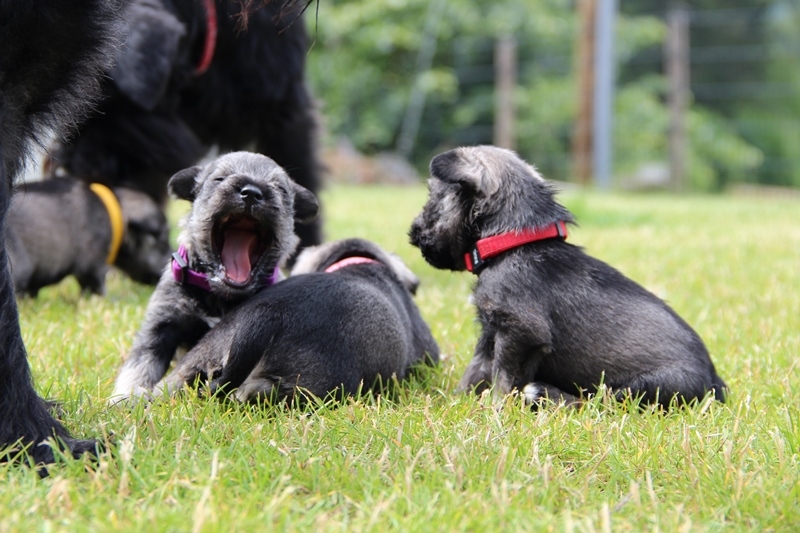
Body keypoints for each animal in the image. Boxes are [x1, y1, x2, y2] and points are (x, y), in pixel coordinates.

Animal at [111, 152, 318, 402]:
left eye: (281, 188)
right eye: (219, 178)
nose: (251, 193)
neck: (220, 297)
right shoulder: (159, 329)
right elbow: (139, 367)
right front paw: (124, 398)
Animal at [410, 143, 728, 406]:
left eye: (433, 198)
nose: (413, 233)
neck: (513, 240)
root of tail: (715, 384)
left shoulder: (520, 332)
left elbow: (503, 379)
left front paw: (494, 412)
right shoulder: (489, 333)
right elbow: (475, 371)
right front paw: (457, 404)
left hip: (638, 388)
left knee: (597, 404)